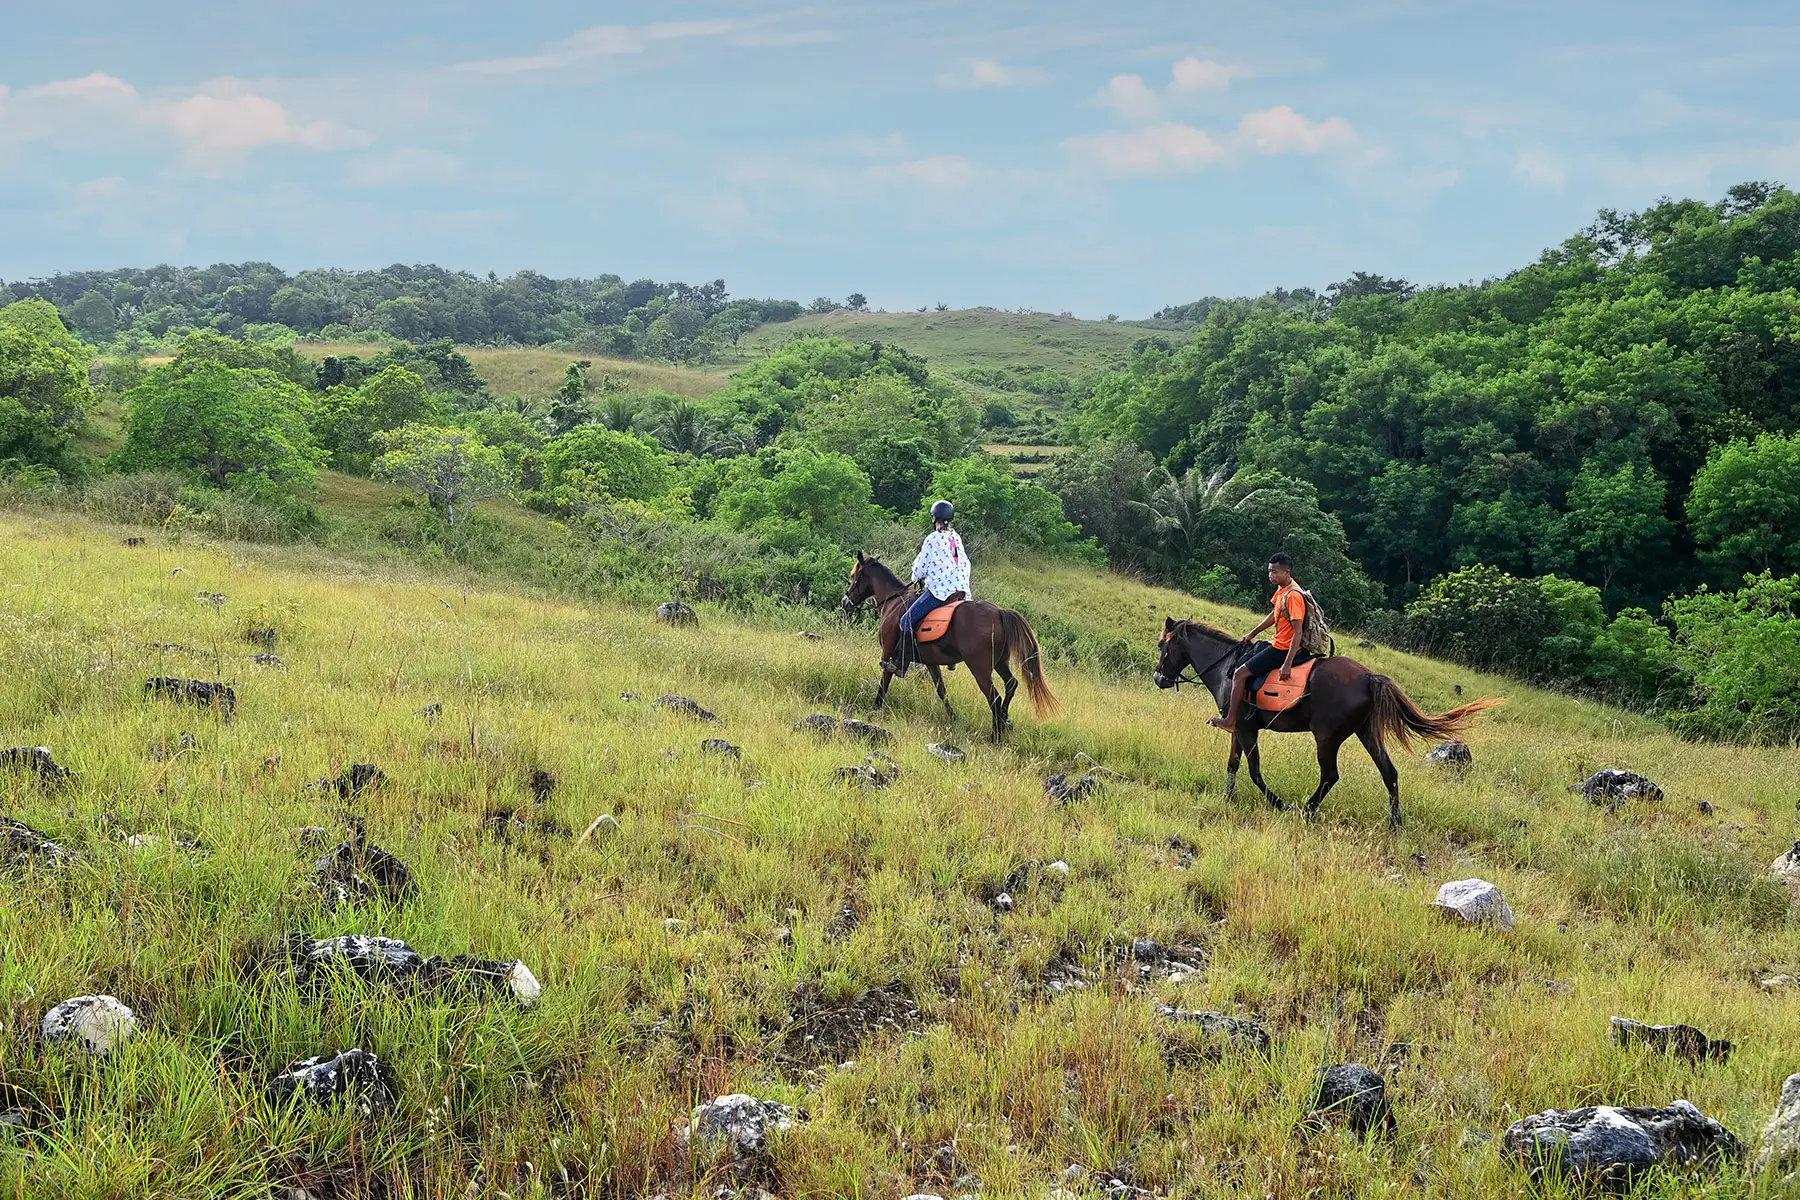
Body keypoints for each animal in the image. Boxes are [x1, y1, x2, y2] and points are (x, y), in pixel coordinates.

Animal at [841, 553, 1056, 739]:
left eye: (853, 575)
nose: (845, 602)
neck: (893, 601)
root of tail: (999, 612)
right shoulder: (930, 662)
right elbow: (941, 691)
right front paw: (953, 718)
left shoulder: (887, 652)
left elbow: (885, 680)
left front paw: (876, 707)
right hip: (1000, 662)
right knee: (1011, 684)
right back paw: (1003, 722)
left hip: (979, 667)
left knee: (994, 696)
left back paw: (995, 735)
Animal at [1152, 617, 1502, 829]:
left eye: (1163, 646)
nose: (1159, 679)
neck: (1229, 669)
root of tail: (1369, 677)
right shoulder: (1237, 728)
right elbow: (1233, 764)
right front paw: (1228, 799)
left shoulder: (1246, 728)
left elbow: (1254, 771)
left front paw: (1279, 804)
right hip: (1366, 733)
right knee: (1389, 773)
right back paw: (1395, 823)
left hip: (1327, 737)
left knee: (1330, 776)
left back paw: (1306, 810)